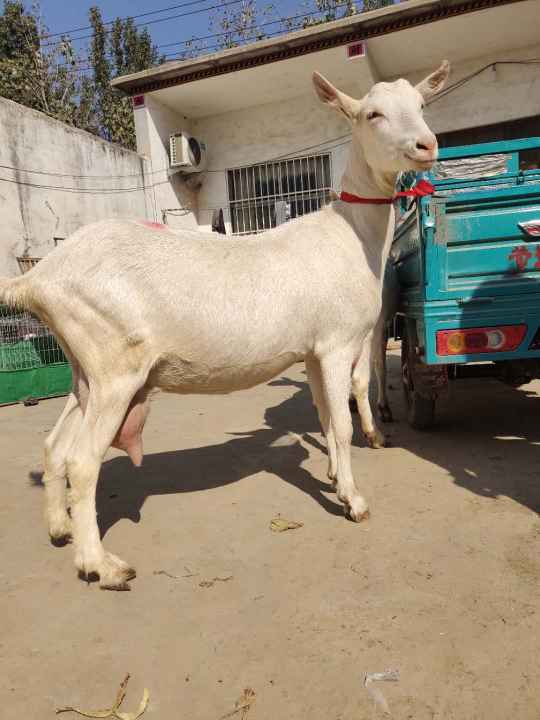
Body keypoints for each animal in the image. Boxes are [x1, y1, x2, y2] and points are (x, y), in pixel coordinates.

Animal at [0, 63, 448, 592]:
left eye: (421, 105)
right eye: (371, 114)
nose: (426, 146)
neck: (351, 233)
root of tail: (39, 278)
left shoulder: (312, 350)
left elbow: (322, 415)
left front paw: (336, 481)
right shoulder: (338, 343)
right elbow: (340, 423)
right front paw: (354, 501)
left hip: (84, 367)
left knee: (55, 446)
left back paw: (60, 528)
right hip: (115, 368)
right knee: (82, 461)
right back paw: (101, 565)